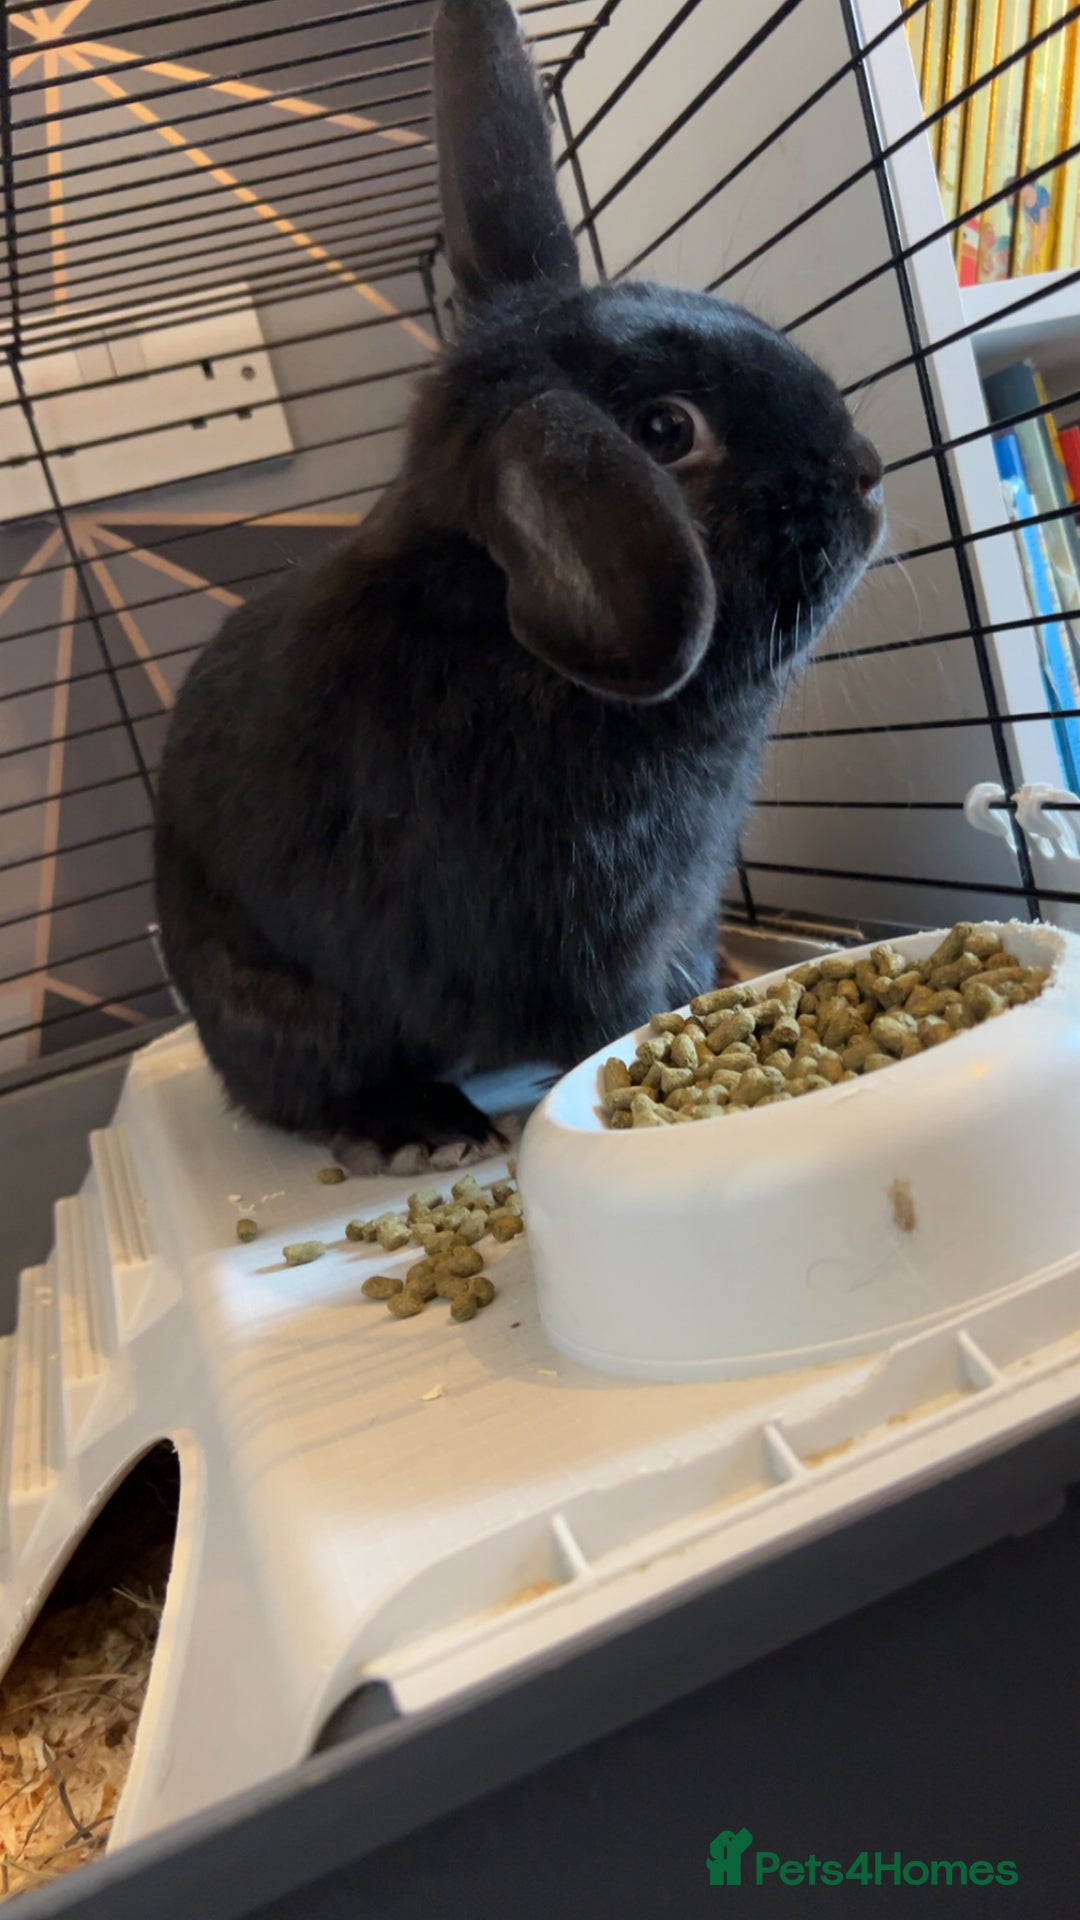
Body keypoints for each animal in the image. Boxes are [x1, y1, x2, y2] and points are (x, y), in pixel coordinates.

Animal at [153, 0, 885, 1176]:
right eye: (666, 432)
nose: (867, 471)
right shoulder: (591, 931)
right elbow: (616, 1013)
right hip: (287, 1010)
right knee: (307, 1090)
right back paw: (414, 1129)